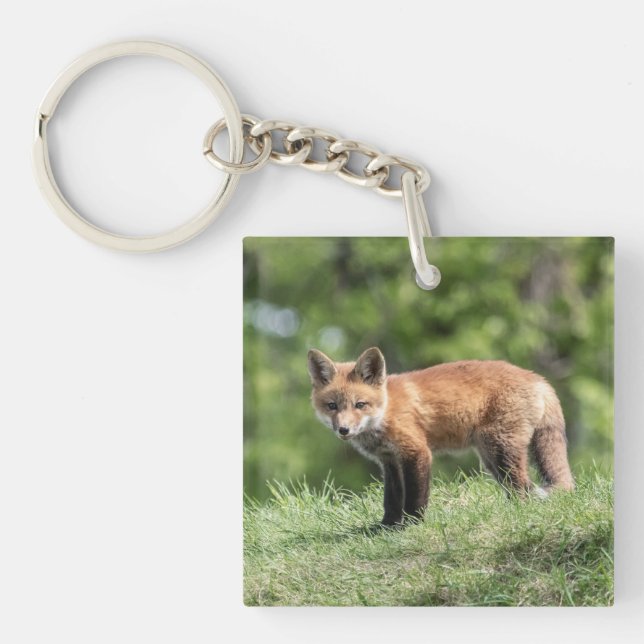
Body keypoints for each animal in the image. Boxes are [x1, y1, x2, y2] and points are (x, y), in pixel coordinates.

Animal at [308, 347, 574, 526]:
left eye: (360, 404)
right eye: (332, 406)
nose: (343, 430)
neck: (386, 411)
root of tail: (538, 378)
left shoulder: (416, 452)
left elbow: (415, 496)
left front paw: (412, 525)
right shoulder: (389, 461)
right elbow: (391, 498)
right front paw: (386, 526)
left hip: (500, 449)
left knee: (522, 488)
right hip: (490, 457)